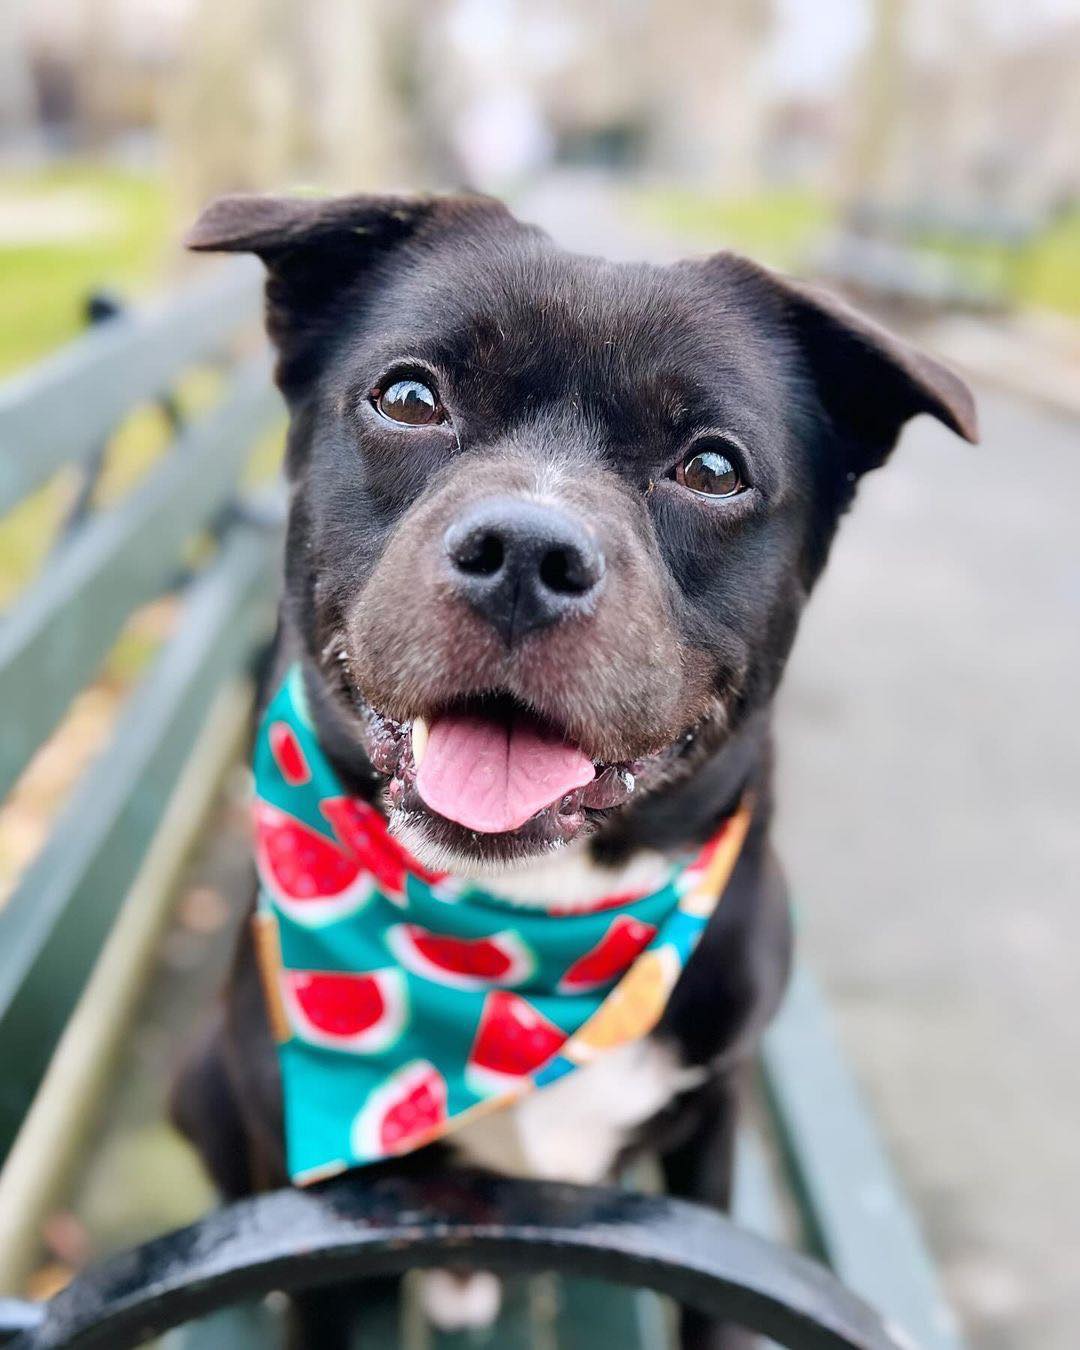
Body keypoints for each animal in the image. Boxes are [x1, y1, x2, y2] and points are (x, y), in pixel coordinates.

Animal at [172, 193, 972, 1350]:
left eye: (714, 468)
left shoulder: (711, 1133)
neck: (523, 923)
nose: (524, 552)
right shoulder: (308, 1192)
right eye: (408, 397)